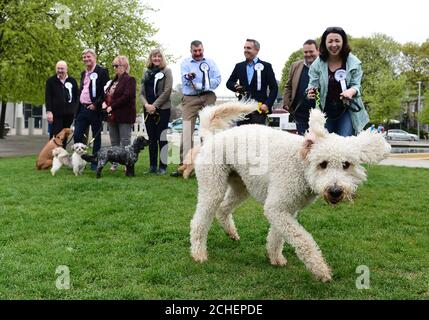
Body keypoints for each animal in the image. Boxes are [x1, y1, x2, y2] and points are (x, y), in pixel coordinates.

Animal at [189, 104, 390, 282]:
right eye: (323, 164)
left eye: (346, 165)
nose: (335, 191)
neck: (301, 165)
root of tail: (210, 138)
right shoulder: (277, 207)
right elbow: (302, 239)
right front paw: (320, 269)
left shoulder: (287, 209)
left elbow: (278, 235)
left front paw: (275, 257)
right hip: (213, 186)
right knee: (199, 221)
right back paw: (198, 253)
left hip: (241, 187)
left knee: (223, 209)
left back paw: (231, 233)